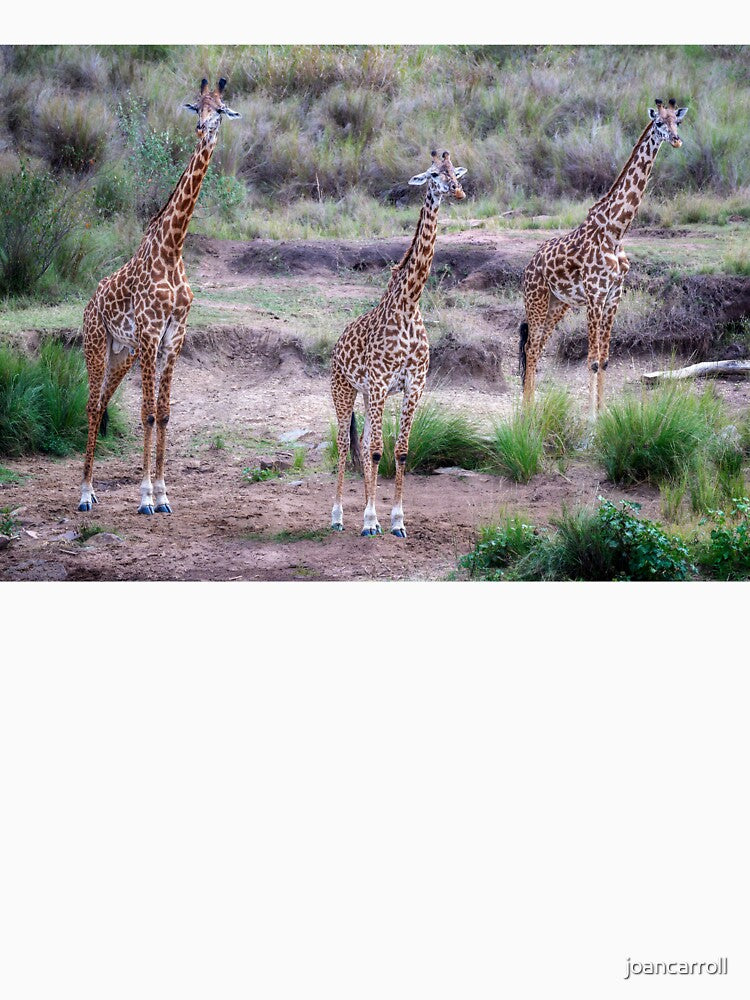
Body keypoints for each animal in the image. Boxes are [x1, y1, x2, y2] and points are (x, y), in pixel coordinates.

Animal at [77, 78, 241, 514]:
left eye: (221, 110)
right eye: (197, 107)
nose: (202, 130)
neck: (173, 247)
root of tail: (89, 302)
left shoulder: (173, 338)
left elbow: (164, 414)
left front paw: (164, 495)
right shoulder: (151, 335)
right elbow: (147, 413)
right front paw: (145, 496)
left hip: (123, 352)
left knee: (103, 401)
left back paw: (93, 492)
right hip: (97, 344)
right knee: (91, 405)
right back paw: (84, 494)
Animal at [330, 150, 467, 537]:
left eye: (455, 171)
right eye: (434, 174)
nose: (459, 191)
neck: (409, 302)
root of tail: (337, 343)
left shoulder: (413, 386)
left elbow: (401, 450)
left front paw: (395, 521)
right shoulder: (378, 384)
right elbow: (378, 450)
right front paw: (370, 520)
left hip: (365, 394)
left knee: (361, 446)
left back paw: (367, 513)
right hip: (343, 388)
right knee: (344, 445)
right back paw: (339, 517)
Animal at [519, 98, 688, 419]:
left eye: (678, 121)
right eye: (659, 123)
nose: (676, 140)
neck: (616, 230)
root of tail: (528, 265)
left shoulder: (614, 295)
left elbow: (606, 359)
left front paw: (604, 414)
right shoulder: (595, 296)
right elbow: (593, 359)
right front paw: (591, 419)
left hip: (558, 305)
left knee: (537, 348)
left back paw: (530, 407)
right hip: (536, 300)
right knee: (530, 348)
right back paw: (528, 412)